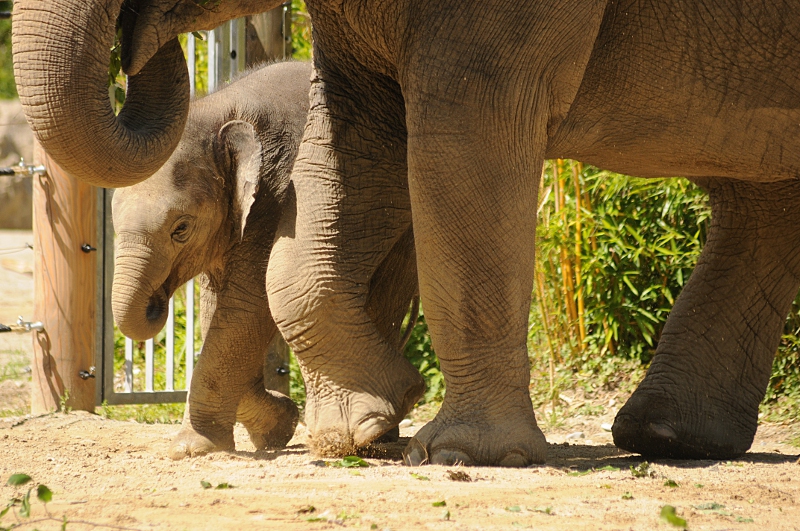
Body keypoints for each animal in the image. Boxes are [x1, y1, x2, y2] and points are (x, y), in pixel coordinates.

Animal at [13, 0, 800, 465]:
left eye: (180, 228)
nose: (136, 43)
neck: (222, 108)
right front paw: (290, 433)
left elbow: (458, 140)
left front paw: (453, 450)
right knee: (763, 197)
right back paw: (669, 439)